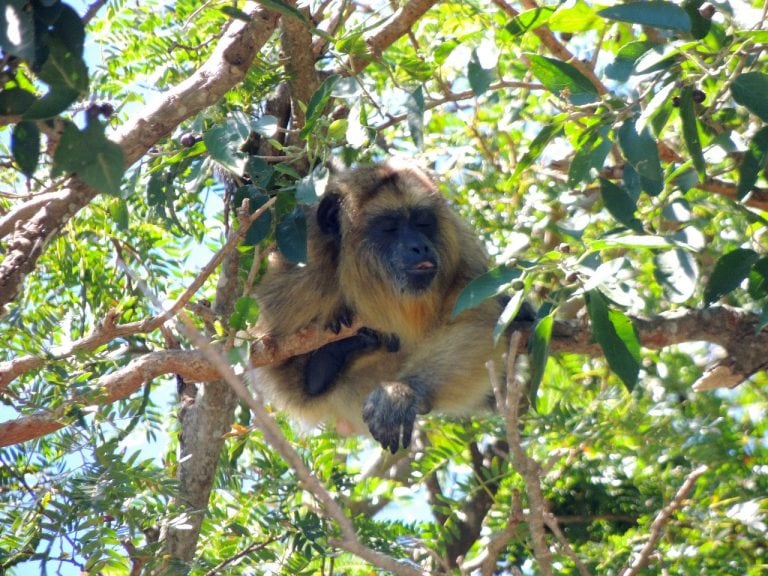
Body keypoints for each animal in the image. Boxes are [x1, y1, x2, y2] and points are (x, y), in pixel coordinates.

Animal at [252, 160, 528, 452]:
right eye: (389, 227)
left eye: (422, 222)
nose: (420, 247)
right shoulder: (302, 272)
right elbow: (275, 366)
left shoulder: (462, 251)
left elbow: (478, 322)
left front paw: (402, 393)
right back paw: (327, 364)